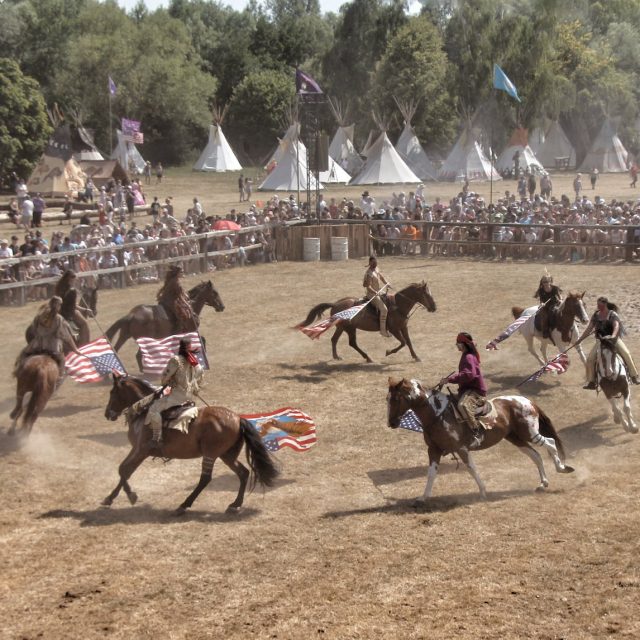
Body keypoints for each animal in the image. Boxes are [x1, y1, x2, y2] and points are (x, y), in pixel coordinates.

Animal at [102, 370, 278, 516]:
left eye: (112, 392)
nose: (107, 414)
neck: (144, 412)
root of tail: (237, 418)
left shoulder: (141, 451)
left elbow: (124, 471)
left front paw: (130, 496)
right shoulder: (136, 450)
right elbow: (124, 470)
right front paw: (109, 498)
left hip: (211, 454)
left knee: (205, 479)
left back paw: (184, 505)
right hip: (227, 455)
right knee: (243, 473)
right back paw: (235, 505)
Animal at [298, 282, 438, 362]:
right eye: (426, 294)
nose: (434, 307)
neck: (398, 305)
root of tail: (335, 304)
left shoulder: (404, 327)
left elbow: (408, 342)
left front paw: (416, 357)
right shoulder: (394, 329)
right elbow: (403, 342)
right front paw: (388, 352)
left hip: (341, 327)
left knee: (334, 339)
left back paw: (337, 356)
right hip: (350, 329)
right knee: (352, 343)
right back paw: (368, 357)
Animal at [384, 376, 576, 500]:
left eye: (396, 399)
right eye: (387, 399)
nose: (391, 422)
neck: (437, 414)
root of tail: (527, 401)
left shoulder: (461, 449)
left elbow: (471, 468)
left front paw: (483, 491)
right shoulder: (434, 450)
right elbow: (431, 473)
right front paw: (424, 497)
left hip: (530, 433)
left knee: (550, 443)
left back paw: (561, 467)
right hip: (515, 437)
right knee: (535, 455)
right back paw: (543, 483)